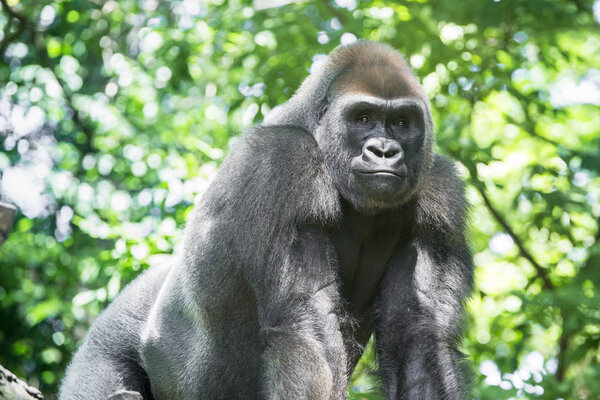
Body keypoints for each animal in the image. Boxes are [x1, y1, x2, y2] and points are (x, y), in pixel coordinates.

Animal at [59, 41, 474, 400]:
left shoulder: (439, 197)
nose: (385, 151)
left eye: (402, 122)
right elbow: (303, 334)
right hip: (103, 348)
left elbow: (418, 335)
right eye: (364, 118)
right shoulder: (280, 165)